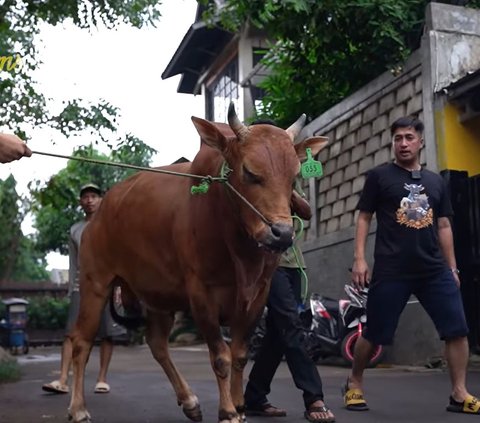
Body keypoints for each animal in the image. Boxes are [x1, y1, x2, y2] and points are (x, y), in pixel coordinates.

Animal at [67, 103, 328, 423]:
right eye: (250, 172)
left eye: (293, 178)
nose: (282, 234)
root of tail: (100, 212)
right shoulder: (202, 294)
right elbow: (221, 357)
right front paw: (227, 411)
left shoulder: (258, 296)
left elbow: (240, 355)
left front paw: (240, 406)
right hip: (95, 282)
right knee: (81, 341)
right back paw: (78, 408)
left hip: (158, 296)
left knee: (157, 344)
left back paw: (190, 401)